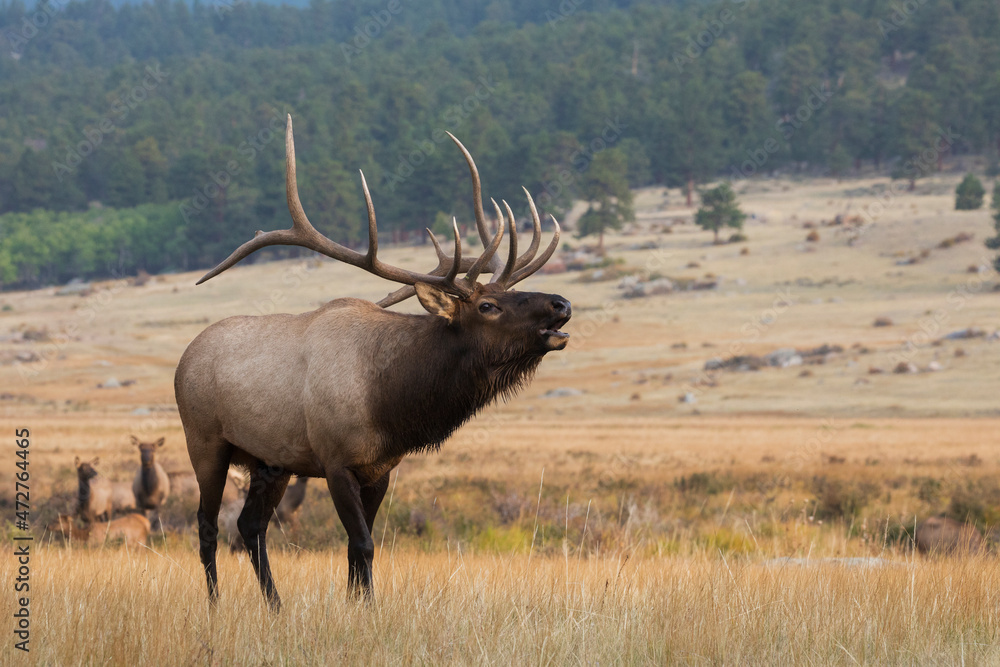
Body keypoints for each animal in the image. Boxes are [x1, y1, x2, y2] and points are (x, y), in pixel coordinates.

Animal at [175, 115, 571, 611]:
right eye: (488, 306)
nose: (561, 304)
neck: (390, 402)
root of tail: (183, 359)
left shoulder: (381, 469)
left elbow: (355, 547)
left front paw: (357, 605)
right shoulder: (334, 460)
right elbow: (363, 543)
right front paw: (366, 607)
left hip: (271, 461)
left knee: (250, 526)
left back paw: (276, 606)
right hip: (206, 442)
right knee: (207, 526)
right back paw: (214, 605)